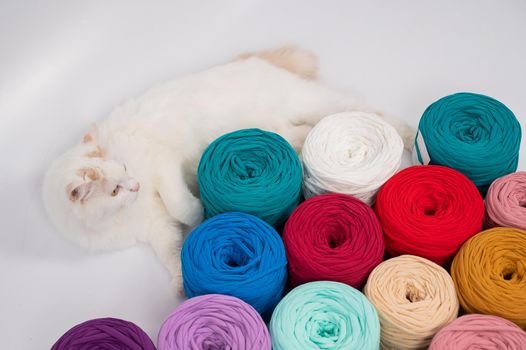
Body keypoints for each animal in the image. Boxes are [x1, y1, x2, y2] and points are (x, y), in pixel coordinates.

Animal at [42, 47, 416, 292]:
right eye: (116, 189)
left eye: (123, 170)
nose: (134, 185)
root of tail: (252, 60)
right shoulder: (155, 229)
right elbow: (171, 252)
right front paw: (180, 283)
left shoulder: (163, 163)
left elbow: (181, 205)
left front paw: (197, 212)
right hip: (282, 125)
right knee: (305, 131)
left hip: (310, 101)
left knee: (361, 108)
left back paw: (407, 133)